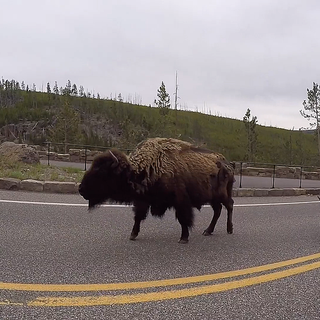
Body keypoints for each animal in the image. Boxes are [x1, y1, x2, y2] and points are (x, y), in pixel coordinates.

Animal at [79, 138, 235, 242]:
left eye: (102, 172)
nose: (81, 189)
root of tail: (227, 164)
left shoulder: (181, 201)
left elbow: (183, 219)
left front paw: (183, 238)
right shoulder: (143, 200)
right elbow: (138, 217)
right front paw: (133, 235)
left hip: (222, 195)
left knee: (229, 205)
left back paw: (229, 229)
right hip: (213, 198)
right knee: (218, 210)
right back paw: (208, 231)